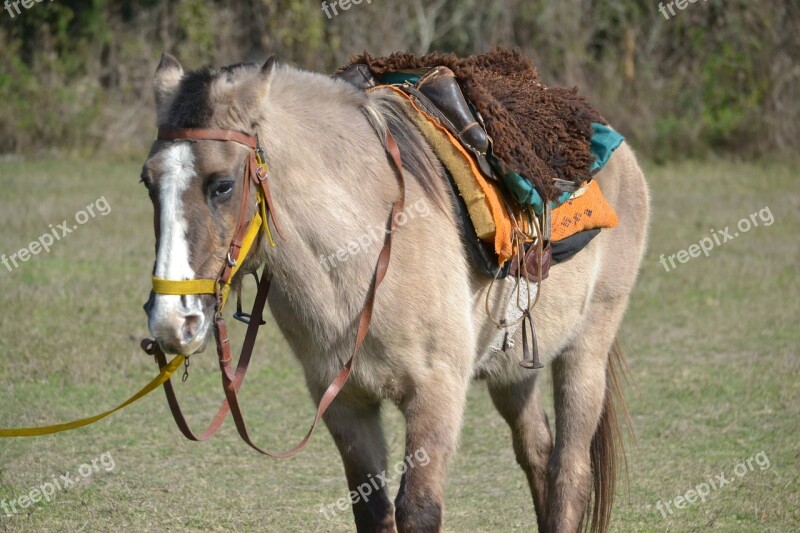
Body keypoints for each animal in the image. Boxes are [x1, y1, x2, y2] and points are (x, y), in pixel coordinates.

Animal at [139, 51, 648, 532]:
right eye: (148, 182)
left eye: (222, 185)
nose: (172, 320)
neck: (363, 255)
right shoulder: (343, 402)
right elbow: (374, 511)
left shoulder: (437, 395)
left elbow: (418, 510)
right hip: (513, 369)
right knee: (539, 456)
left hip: (586, 351)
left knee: (570, 472)